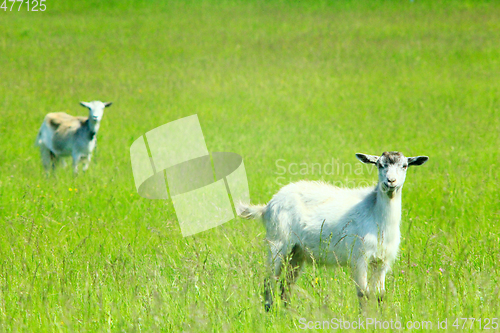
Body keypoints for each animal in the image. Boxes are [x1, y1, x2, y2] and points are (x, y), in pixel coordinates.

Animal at [238, 152, 430, 310]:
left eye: (404, 166)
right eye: (379, 165)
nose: (390, 182)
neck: (375, 213)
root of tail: (268, 206)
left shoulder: (382, 261)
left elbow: (379, 295)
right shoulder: (359, 257)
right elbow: (363, 293)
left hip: (297, 252)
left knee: (287, 285)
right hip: (277, 242)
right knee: (269, 281)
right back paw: (269, 312)